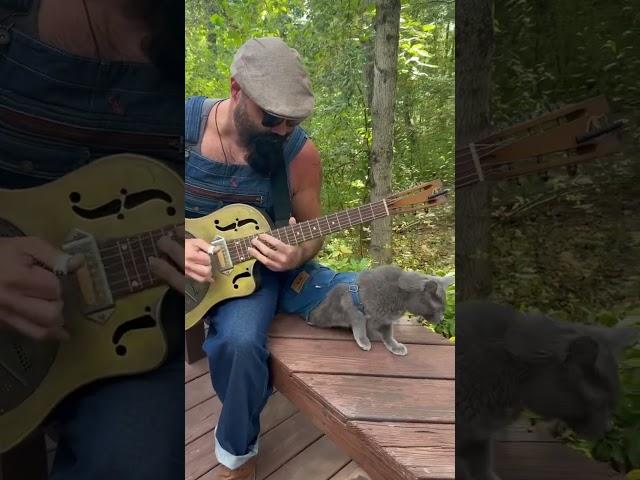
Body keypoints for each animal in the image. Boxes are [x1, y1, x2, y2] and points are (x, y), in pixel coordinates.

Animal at [278, 264, 452, 354]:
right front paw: (364, 341)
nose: (442, 318)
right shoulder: (351, 304)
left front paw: (394, 346)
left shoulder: (385, 320)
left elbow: (388, 334)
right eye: (439, 307)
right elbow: (360, 324)